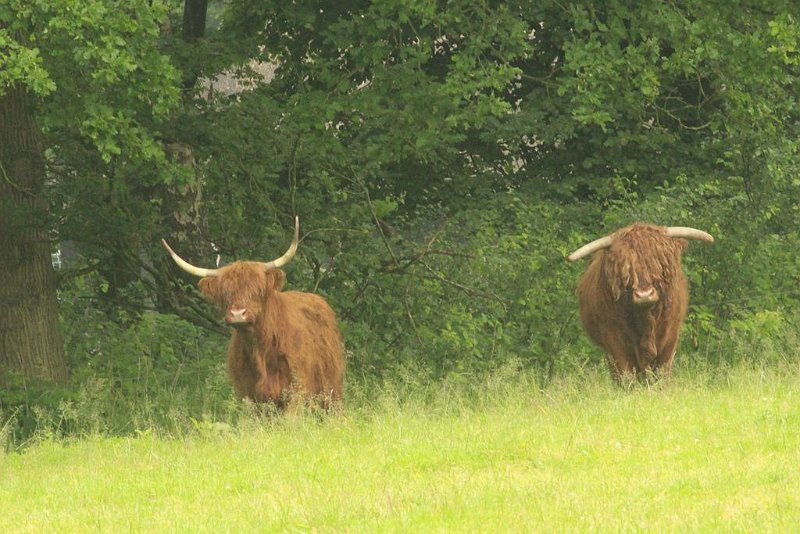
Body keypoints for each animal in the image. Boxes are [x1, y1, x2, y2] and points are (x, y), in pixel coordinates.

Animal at [164, 220, 346, 412]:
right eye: (225, 293)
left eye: (257, 290)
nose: (238, 314)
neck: (259, 349)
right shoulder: (250, 394)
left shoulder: (296, 388)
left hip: (331, 389)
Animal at [564, 224, 716, 384]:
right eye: (625, 269)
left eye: (659, 263)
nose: (644, 295)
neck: (646, 319)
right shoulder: (614, 341)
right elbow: (626, 374)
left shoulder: (670, 338)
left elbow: (662, 372)